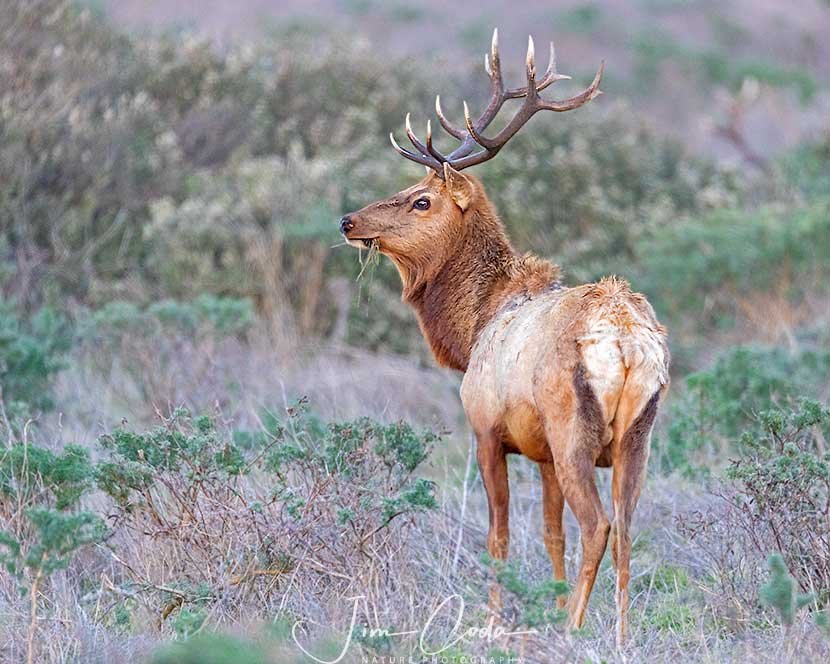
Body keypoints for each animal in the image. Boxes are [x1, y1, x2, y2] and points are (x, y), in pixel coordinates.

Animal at [338, 30, 669, 647]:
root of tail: (627, 345)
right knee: (627, 528)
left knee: (599, 525)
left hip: (573, 429)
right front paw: (545, 608)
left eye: (422, 198)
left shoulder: (488, 429)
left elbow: (498, 537)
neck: (471, 330)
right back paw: (619, 636)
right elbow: (550, 534)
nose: (348, 220)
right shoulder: (539, 451)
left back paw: (575, 630)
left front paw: (495, 624)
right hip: (637, 437)